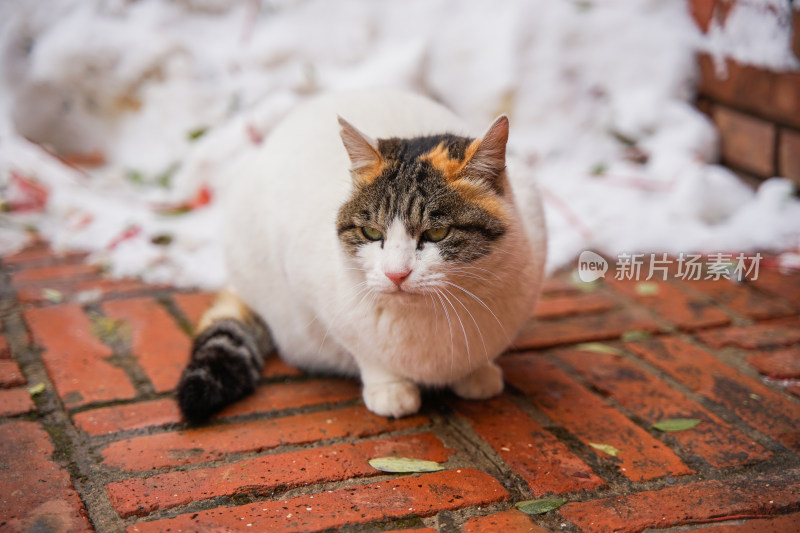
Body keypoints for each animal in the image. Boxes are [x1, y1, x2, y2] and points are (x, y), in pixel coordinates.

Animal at [177, 89, 548, 420]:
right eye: (372, 233)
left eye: (437, 233)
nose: (396, 274)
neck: (429, 320)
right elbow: (366, 352)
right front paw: (390, 388)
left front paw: (476, 373)